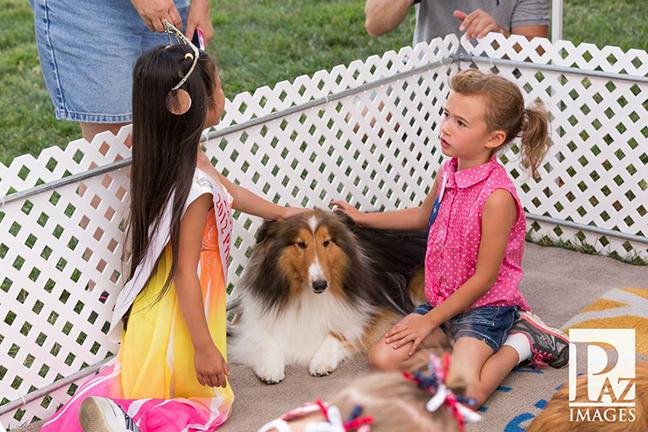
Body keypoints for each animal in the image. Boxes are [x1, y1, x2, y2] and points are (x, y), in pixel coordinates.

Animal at [230, 209, 428, 382]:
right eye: (300, 243)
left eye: (326, 242)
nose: (320, 285)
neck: (306, 295)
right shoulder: (249, 321)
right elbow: (265, 338)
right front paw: (271, 367)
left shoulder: (373, 312)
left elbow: (338, 333)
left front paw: (321, 361)